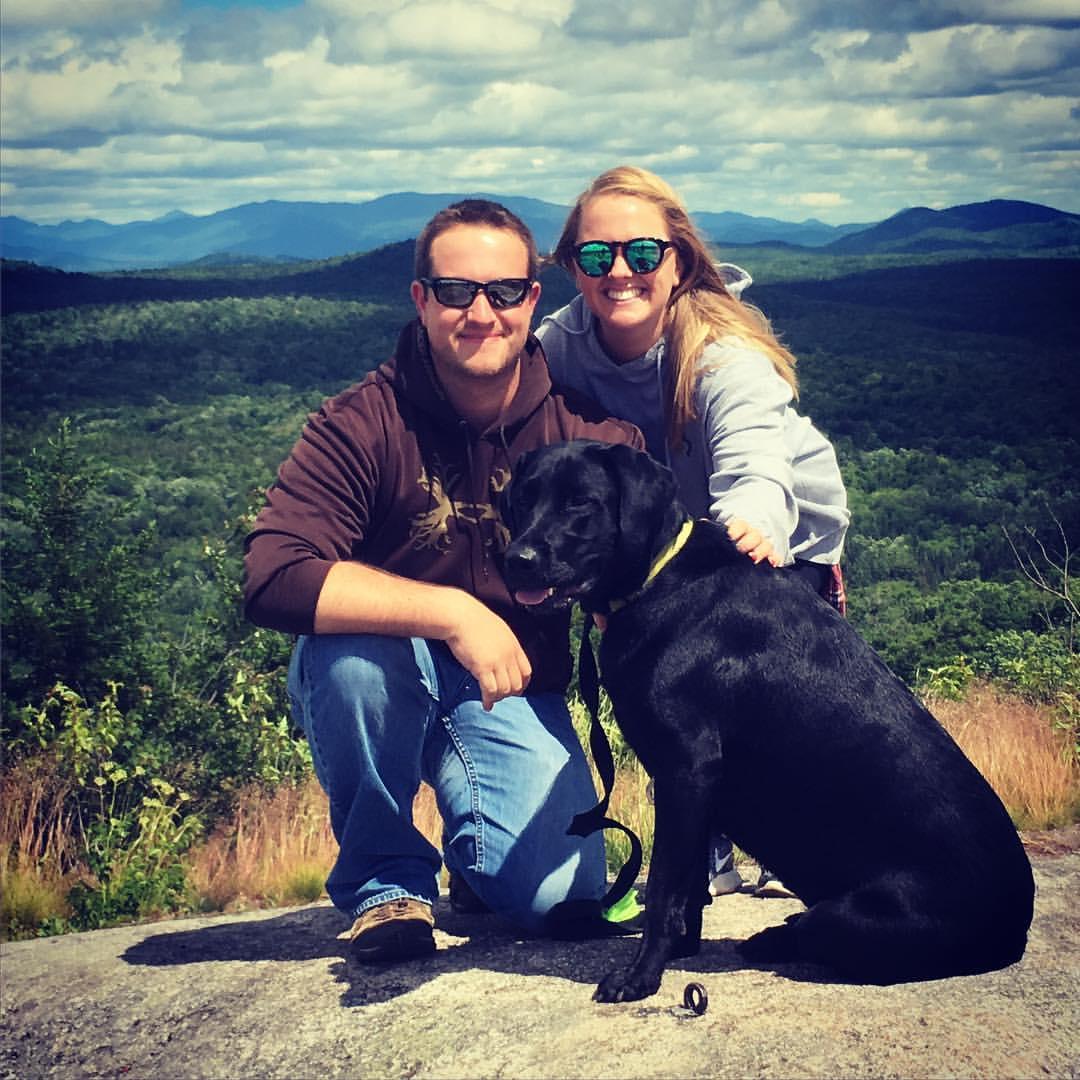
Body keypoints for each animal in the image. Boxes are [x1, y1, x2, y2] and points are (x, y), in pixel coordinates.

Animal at [501, 438, 1032, 1002]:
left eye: (580, 502)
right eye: (525, 497)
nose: (517, 560)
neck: (660, 579)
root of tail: (1016, 927)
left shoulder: (685, 772)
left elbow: (665, 888)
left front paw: (640, 976)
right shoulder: (695, 788)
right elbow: (688, 891)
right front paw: (680, 951)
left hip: (851, 915)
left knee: (818, 931)